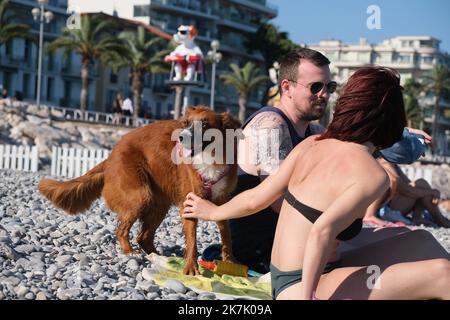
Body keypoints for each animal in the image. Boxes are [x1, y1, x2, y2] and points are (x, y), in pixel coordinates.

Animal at [37, 106, 243, 274]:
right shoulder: (190, 204)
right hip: (140, 196)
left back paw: (161, 258)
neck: (211, 157)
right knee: (122, 230)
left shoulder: (222, 203)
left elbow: (227, 237)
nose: (181, 137)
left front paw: (230, 263)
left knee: (143, 236)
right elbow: (192, 240)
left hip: (159, 205)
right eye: (185, 123)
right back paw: (130, 252)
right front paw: (191, 267)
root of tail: (112, 154)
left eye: (205, 125)